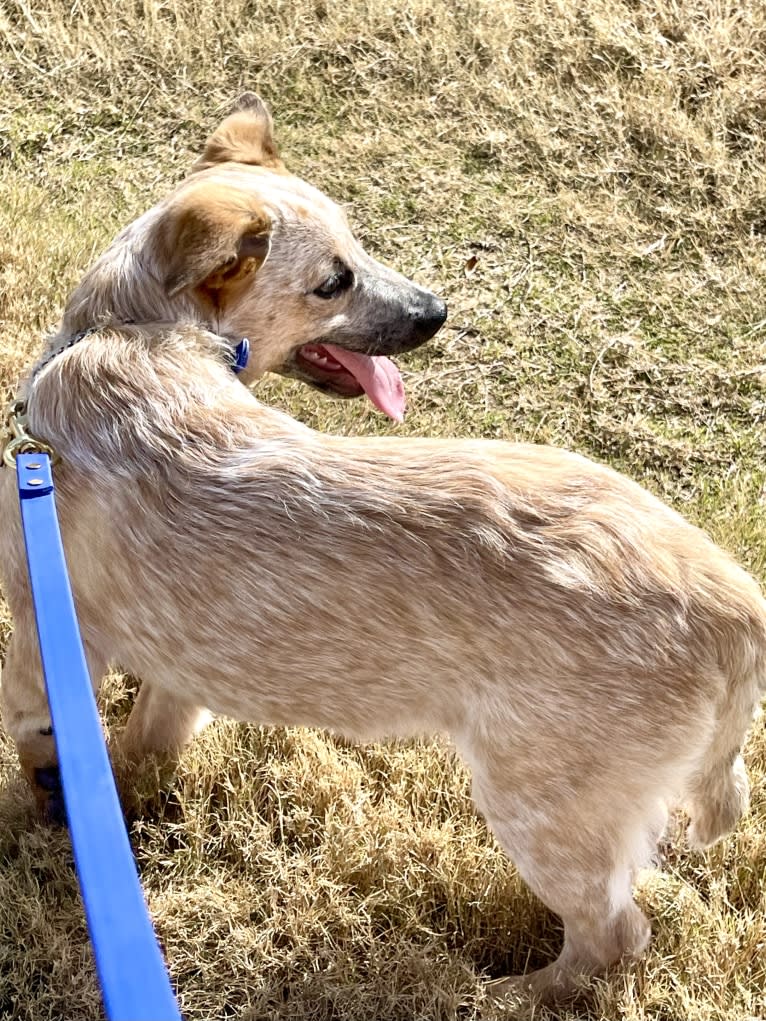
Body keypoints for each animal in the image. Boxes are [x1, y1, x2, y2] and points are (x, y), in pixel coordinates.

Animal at [0, 95, 763, 1004]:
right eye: (335, 278)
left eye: (355, 253)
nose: (436, 313)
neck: (131, 330)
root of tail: (735, 603)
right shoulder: (178, 669)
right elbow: (141, 745)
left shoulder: (43, 637)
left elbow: (39, 747)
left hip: (541, 804)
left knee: (613, 937)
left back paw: (499, 996)